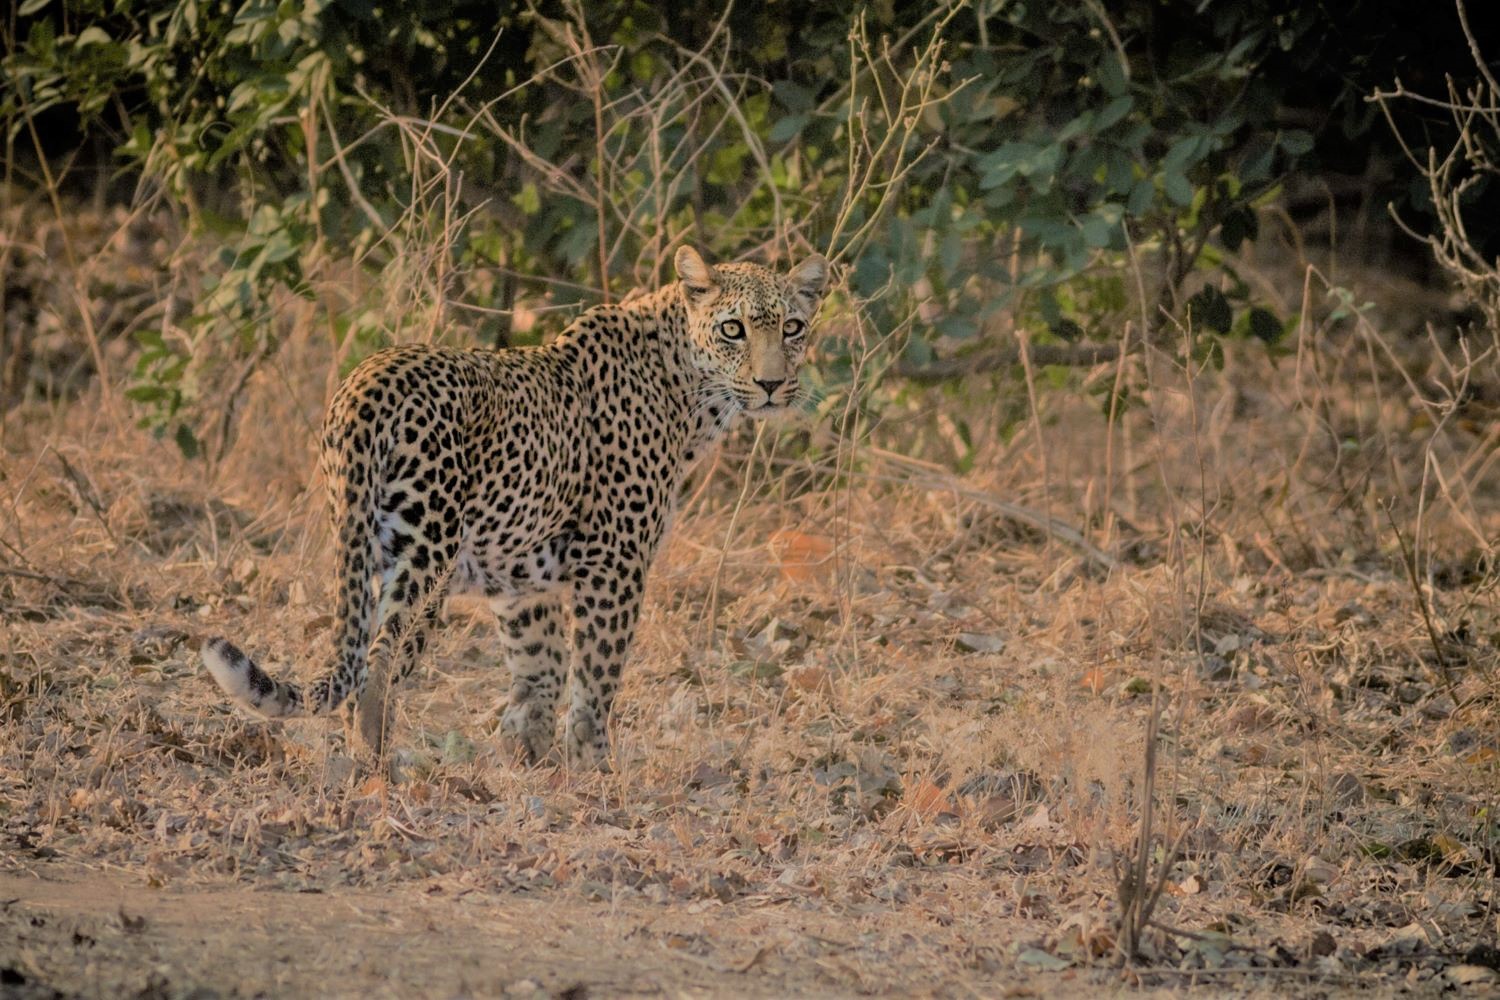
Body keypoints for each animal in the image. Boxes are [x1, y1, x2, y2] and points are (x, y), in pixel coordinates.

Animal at [201, 245, 834, 773]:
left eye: (793, 328)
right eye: (733, 329)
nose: (772, 384)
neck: (690, 393)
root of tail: (366, 381)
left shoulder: (521, 580)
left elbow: (541, 670)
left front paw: (526, 756)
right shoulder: (615, 562)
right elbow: (596, 676)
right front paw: (593, 769)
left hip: (362, 540)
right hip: (425, 554)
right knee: (376, 668)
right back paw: (379, 769)